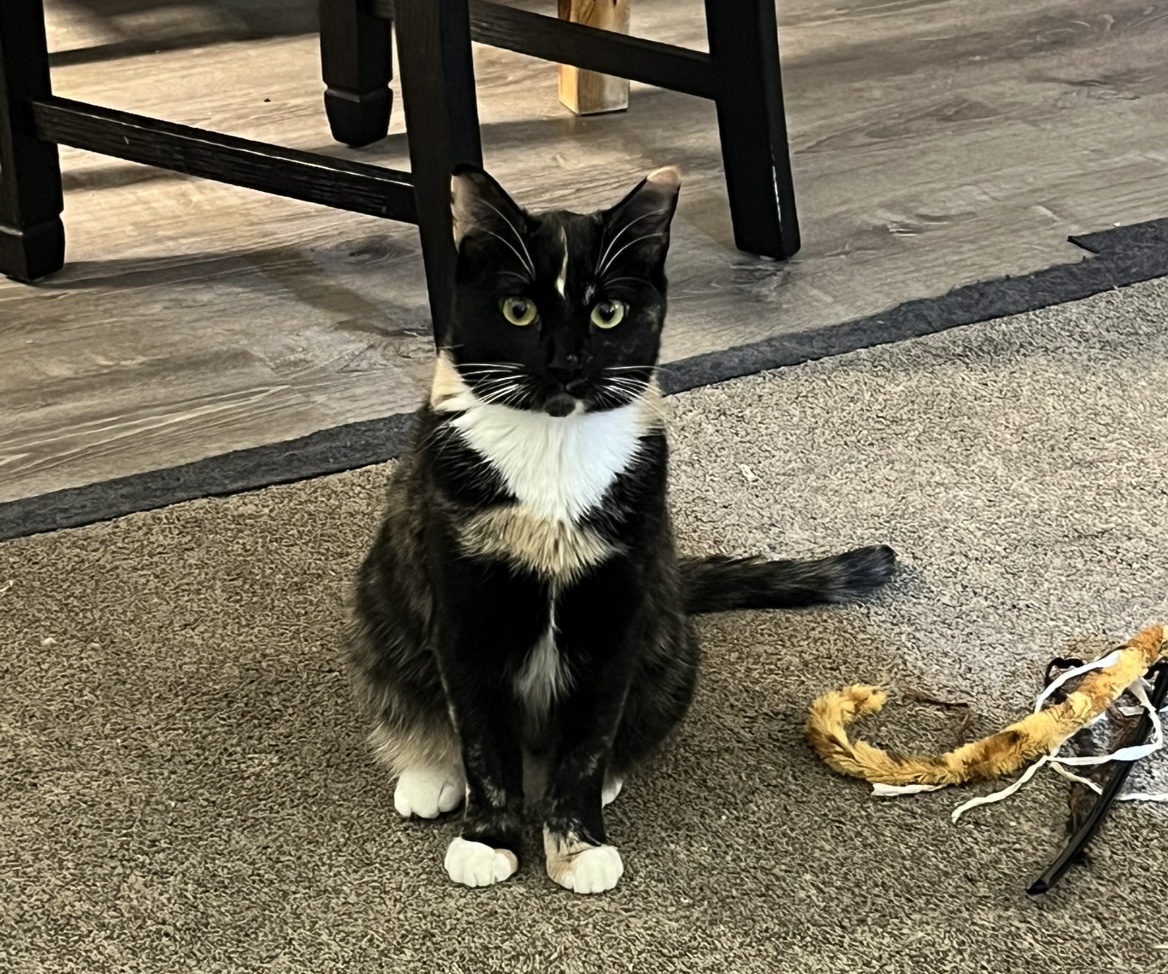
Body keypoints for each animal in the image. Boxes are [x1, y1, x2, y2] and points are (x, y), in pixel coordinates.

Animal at [346, 164, 896, 894]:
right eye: (519, 311)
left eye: (607, 313)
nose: (567, 362)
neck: (553, 451)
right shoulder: (464, 614)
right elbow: (483, 742)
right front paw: (489, 840)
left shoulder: (616, 614)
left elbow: (588, 740)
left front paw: (578, 843)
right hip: (379, 618)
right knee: (414, 702)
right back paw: (429, 775)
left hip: (669, 645)